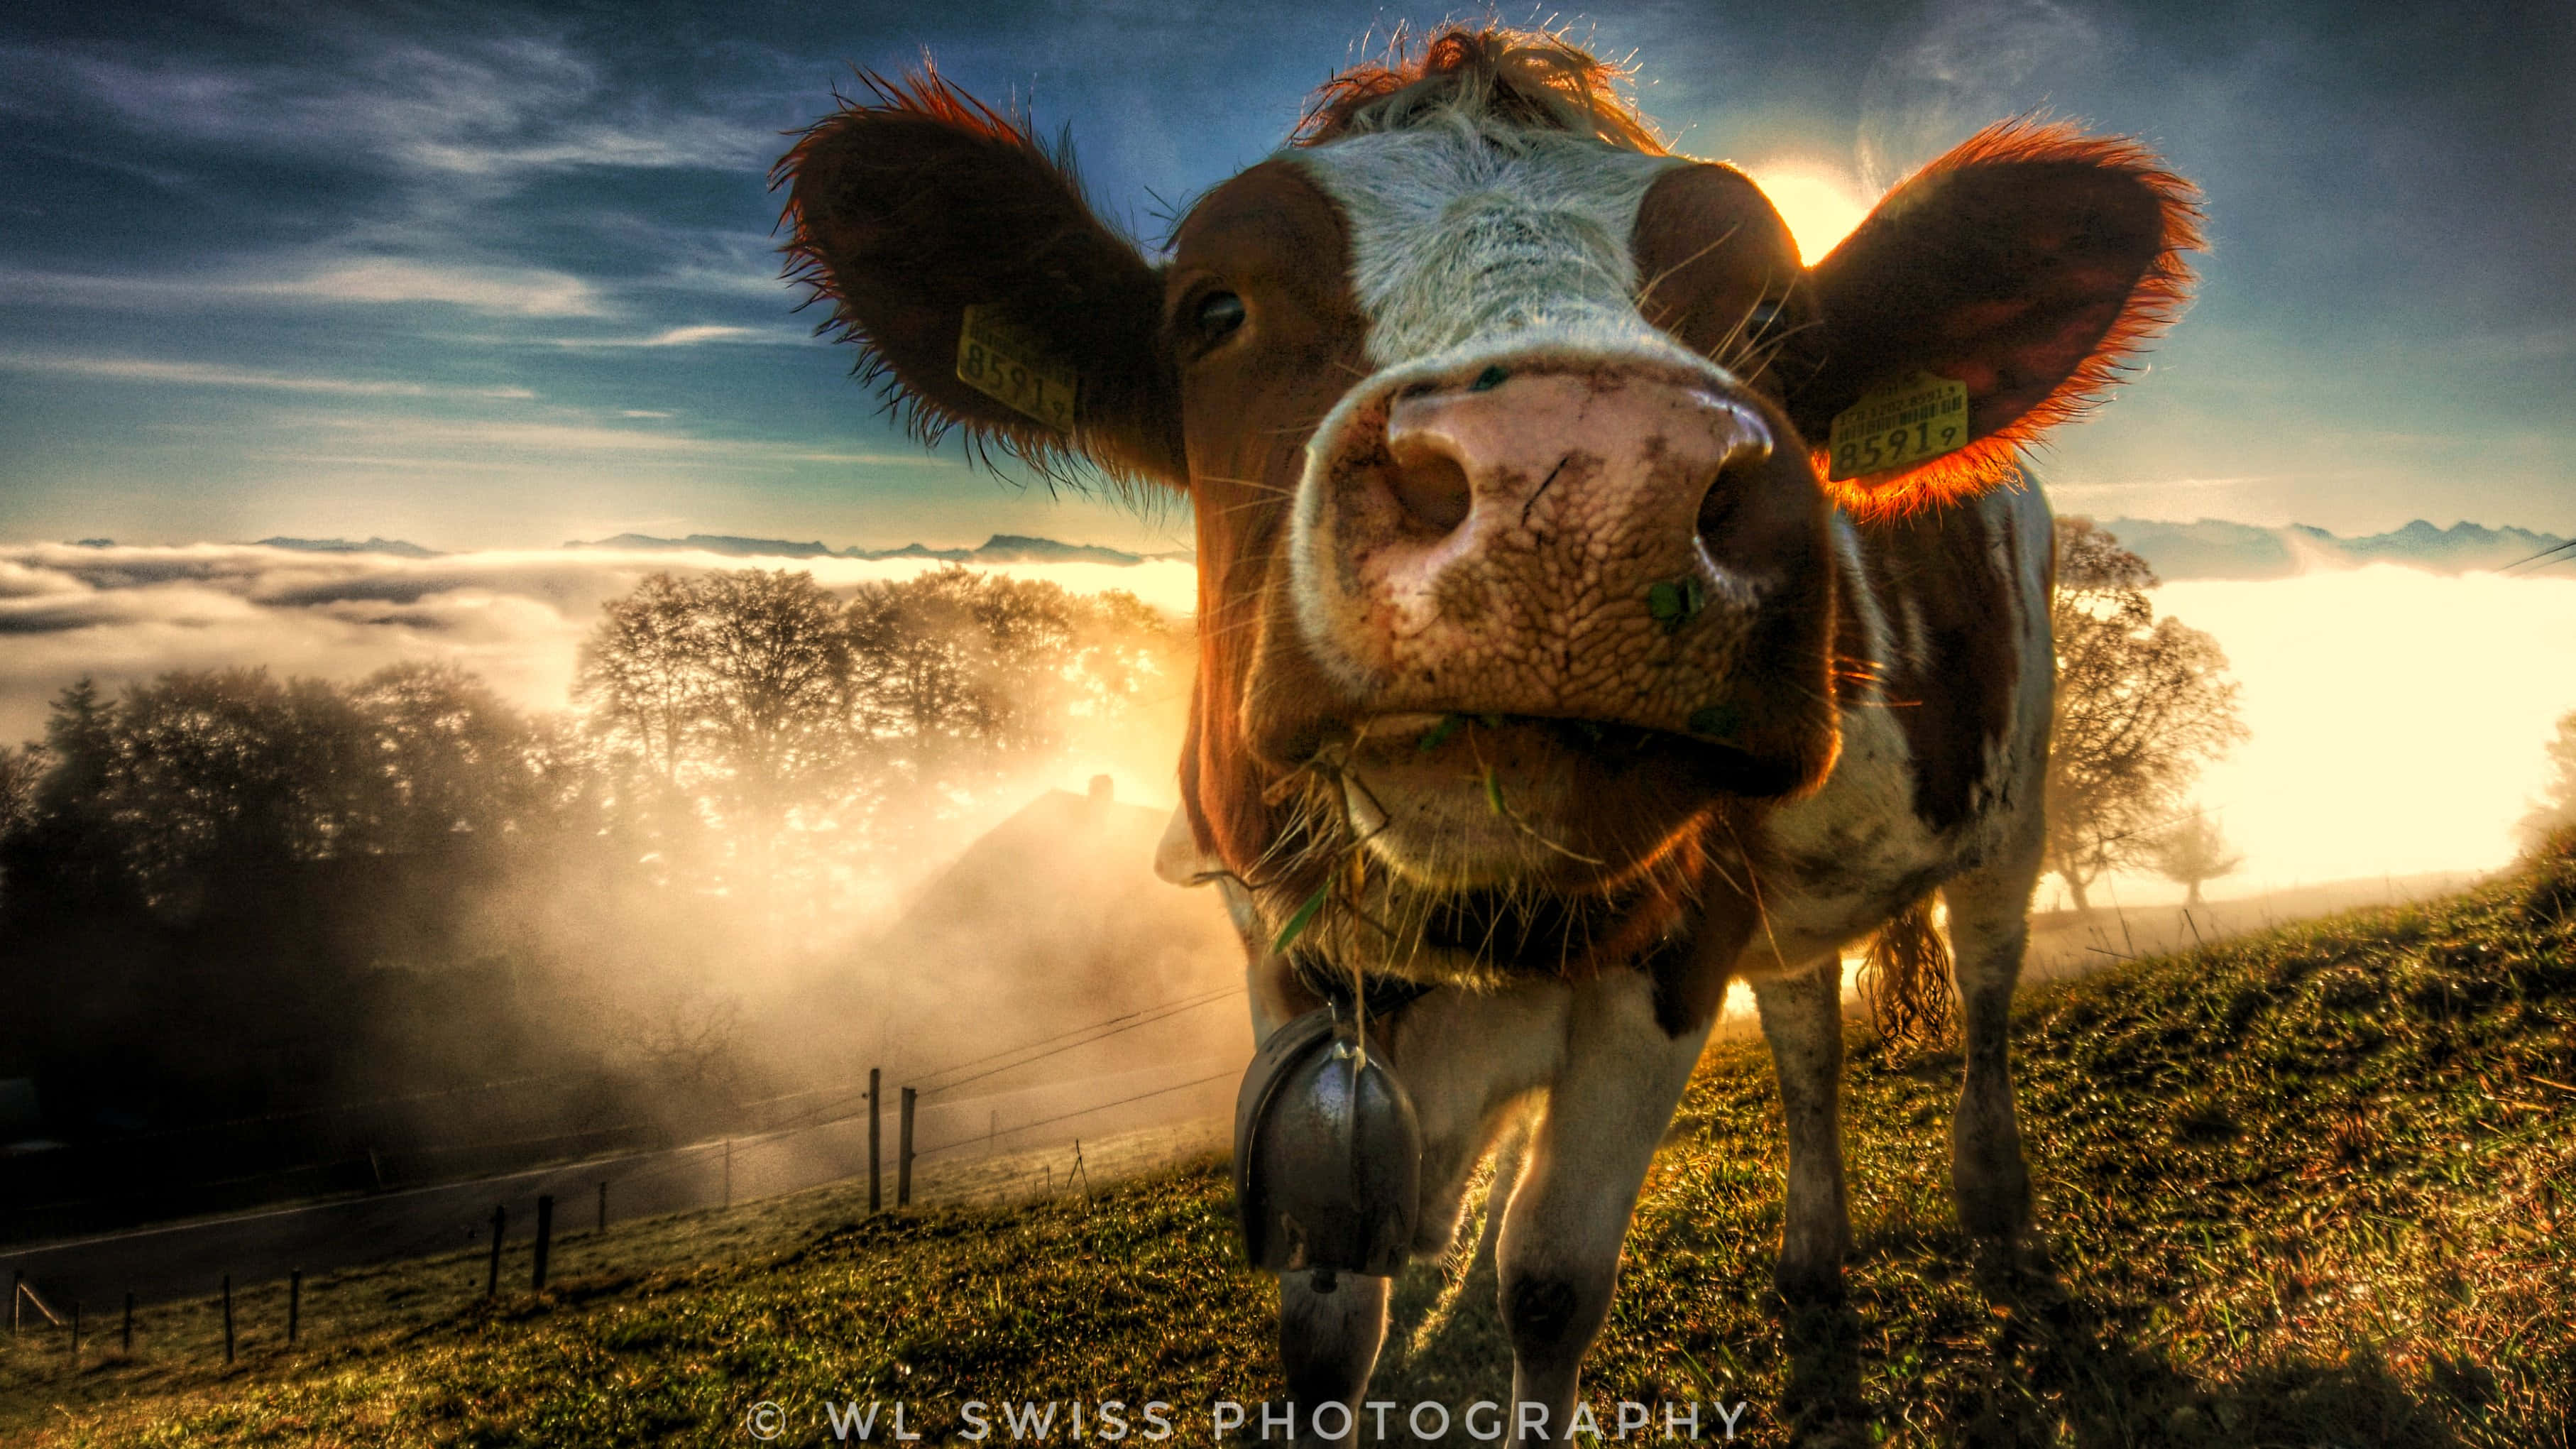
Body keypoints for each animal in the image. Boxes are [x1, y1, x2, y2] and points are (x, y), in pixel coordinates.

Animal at [779, 26, 2198, 1445]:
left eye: (1770, 325)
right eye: (1214, 313)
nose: (1585, 481)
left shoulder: (1670, 962)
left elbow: (1550, 1282)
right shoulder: (1281, 966)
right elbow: (1326, 1322)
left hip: (2013, 809)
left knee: (1986, 986)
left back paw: (1994, 1204)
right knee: (1805, 1034)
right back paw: (1809, 1253)